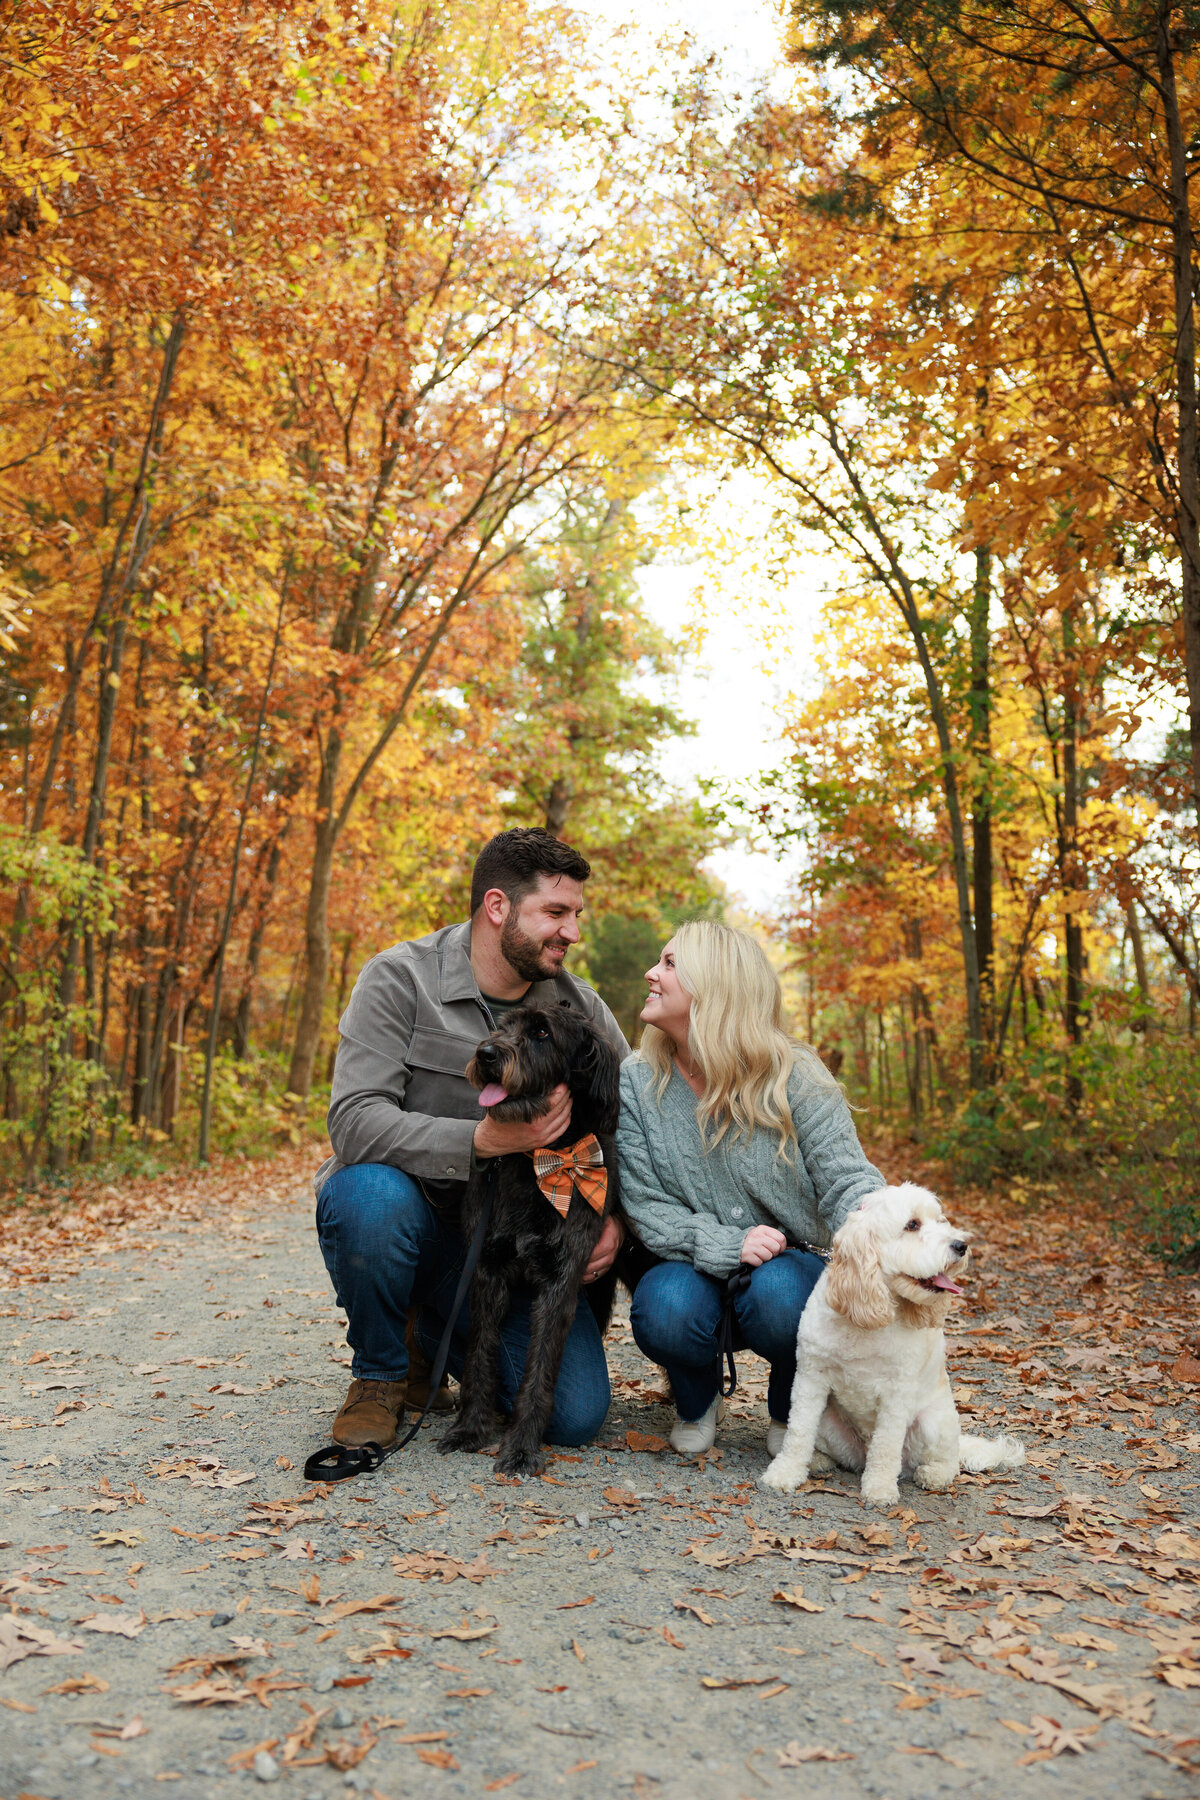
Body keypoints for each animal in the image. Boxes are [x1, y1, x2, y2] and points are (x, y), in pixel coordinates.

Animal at [440, 1000, 629, 1476]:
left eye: (542, 1033)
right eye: (503, 1026)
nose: (487, 1054)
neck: (542, 1162)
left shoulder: (560, 1282)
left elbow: (540, 1370)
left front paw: (523, 1447)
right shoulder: (486, 1269)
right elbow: (479, 1355)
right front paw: (470, 1429)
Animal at [766, 1180, 1029, 1504]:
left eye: (939, 1220)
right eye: (912, 1225)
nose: (961, 1245)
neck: (869, 1319)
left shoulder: (897, 1392)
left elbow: (886, 1446)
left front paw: (879, 1488)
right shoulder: (810, 1378)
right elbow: (799, 1430)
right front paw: (785, 1472)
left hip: (933, 1423)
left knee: (947, 1462)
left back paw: (933, 1475)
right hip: (829, 1420)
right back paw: (818, 1460)